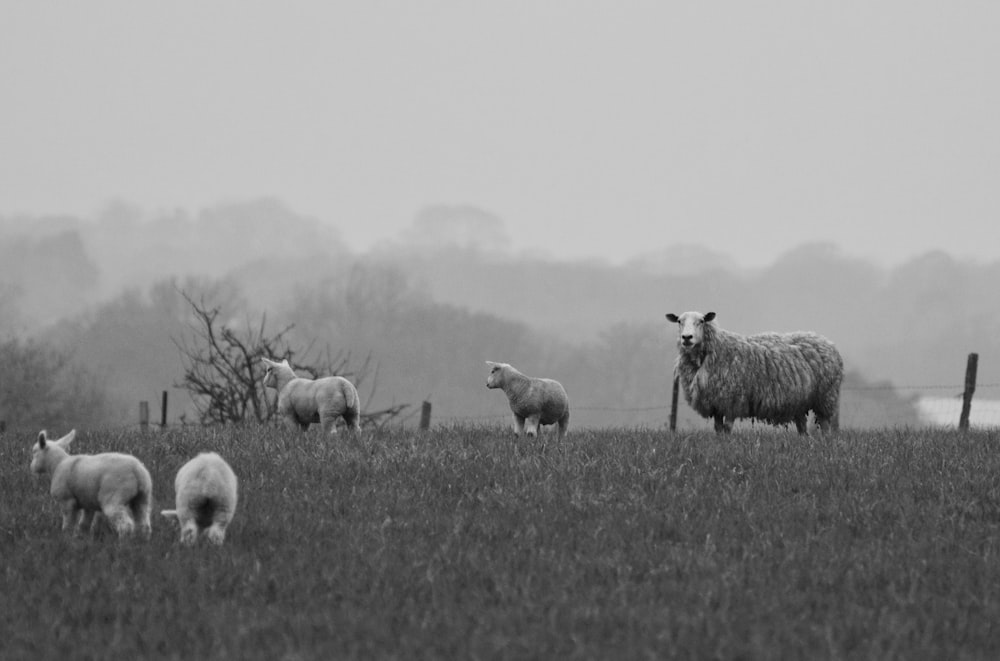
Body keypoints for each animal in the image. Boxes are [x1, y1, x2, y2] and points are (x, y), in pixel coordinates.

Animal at [664, 312, 844, 436]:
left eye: (701, 321)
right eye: (679, 321)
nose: (687, 337)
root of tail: (828, 342)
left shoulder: (733, 400)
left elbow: (727, 428)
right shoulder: (717, 403)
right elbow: (718, 428)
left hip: (825, 398)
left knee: (825, 425)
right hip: (800, 401)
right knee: (802, 428)